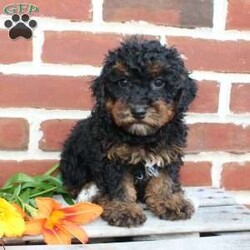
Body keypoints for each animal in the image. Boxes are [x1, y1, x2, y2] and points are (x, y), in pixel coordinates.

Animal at [59, 37, 196, 227]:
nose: (138, 111)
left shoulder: (168, 152)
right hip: (73, 161)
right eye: (123, 82)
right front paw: (124, 210)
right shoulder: (112, 158)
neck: (143, 137)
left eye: (159, 82)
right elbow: (119, 186)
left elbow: (165, 180)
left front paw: (169, 202)